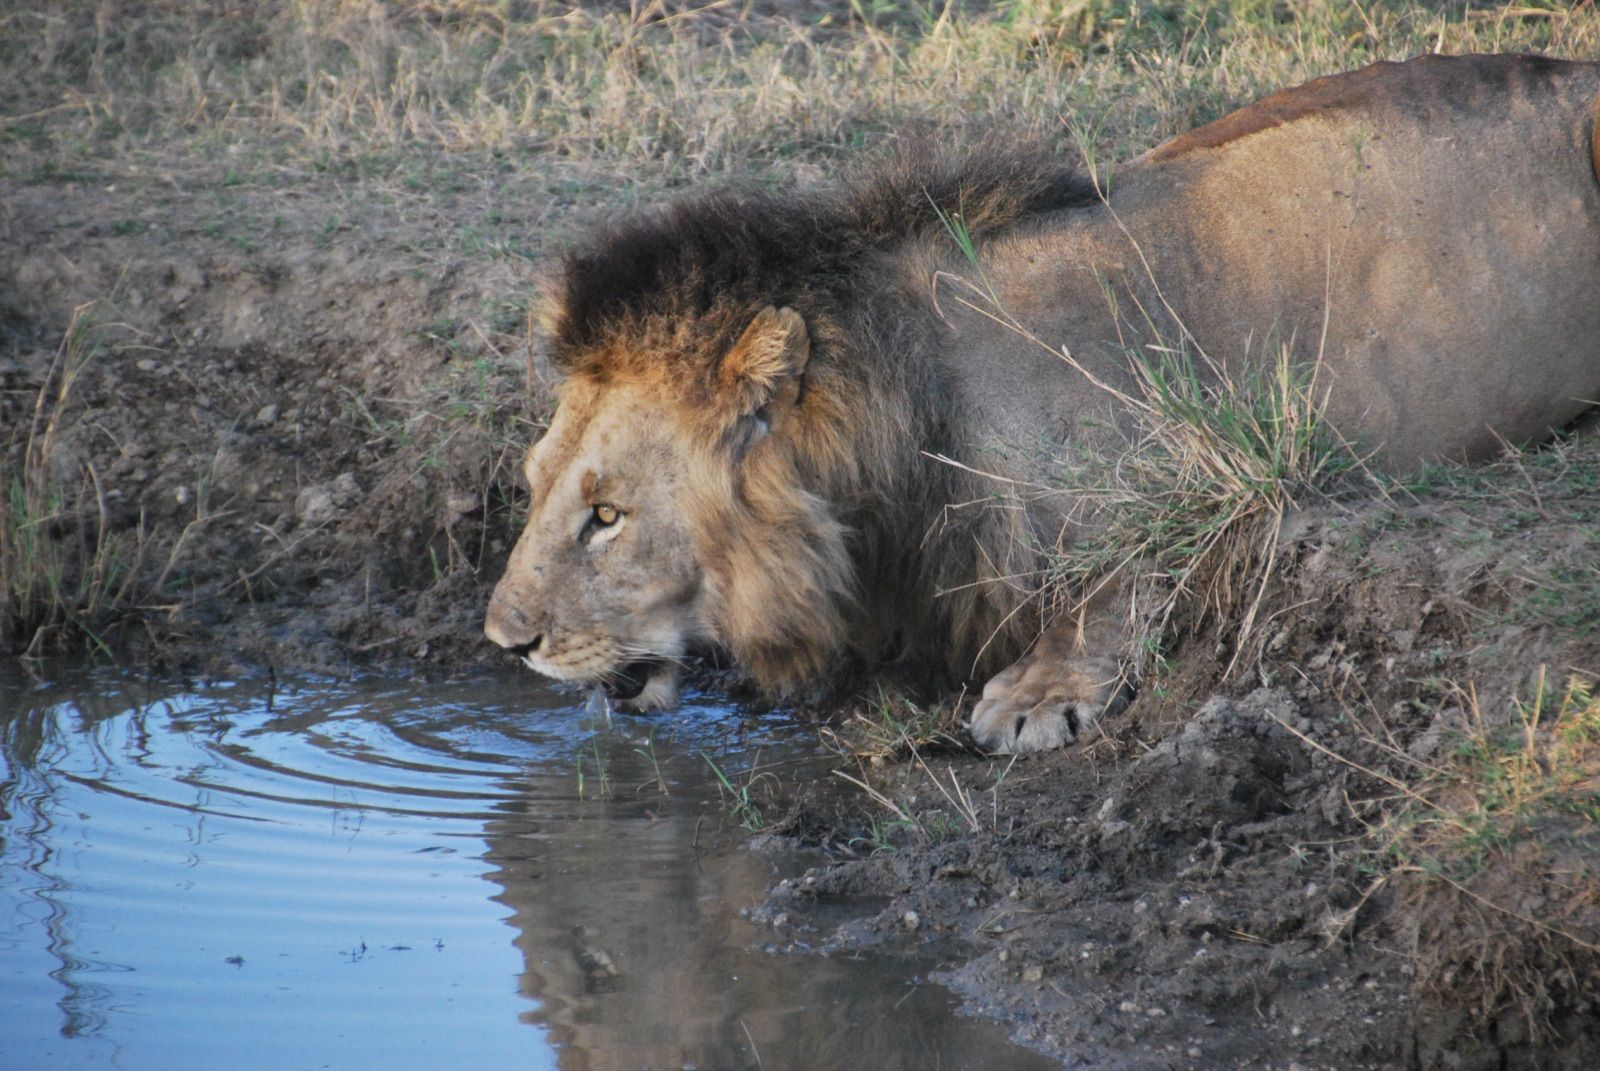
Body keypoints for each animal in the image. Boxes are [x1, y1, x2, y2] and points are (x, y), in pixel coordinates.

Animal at [486, 53, 1600, 752]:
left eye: (606, 516)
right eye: (535, 487)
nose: (504, 645)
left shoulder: (1196, 478)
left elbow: (1107, 587)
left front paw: (1037, 693)